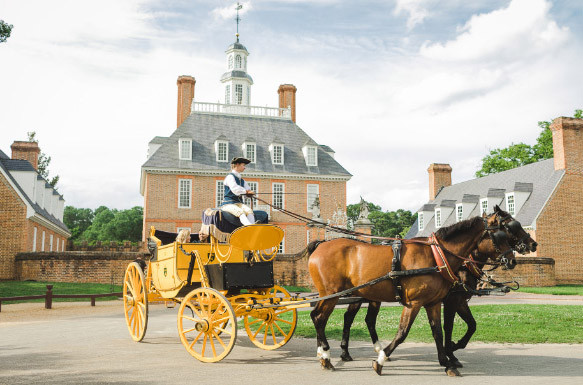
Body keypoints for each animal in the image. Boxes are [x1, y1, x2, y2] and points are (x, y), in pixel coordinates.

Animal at [308, 206, 512, 374]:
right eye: (505, 232)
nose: (511, 260)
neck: (436, 256)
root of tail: (321, 245)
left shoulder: (437, 302)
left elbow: (442, 330)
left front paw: (447, 361)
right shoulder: (421, 302)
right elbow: (406, 332)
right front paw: (381, 360)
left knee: (336, 318)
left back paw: (332, 353)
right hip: (331, 294)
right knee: (320, 318)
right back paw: (326, 356)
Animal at [342, 207, 540, 366]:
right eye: (509, 227)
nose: (532, 244)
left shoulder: (459, 300)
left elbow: (471, 325)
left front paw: (453, 348)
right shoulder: (451, 300)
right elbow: (449, 327)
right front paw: (451, 352)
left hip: (371, 297)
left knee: (367, 319)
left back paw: (373, 350)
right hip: (358, 296)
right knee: (349, 317)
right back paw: (347, 351)